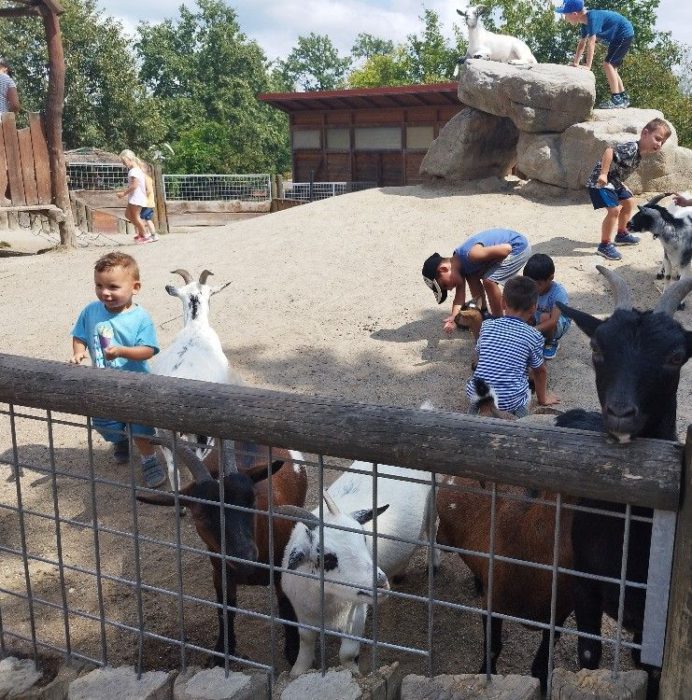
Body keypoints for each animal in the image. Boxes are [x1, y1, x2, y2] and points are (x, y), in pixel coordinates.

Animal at [138, 440, 306, 664]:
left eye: (251, 501)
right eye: (200, 515)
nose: (244, 557)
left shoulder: (282, 570)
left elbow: (286, 608)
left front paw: (293, 651)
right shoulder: (220, 573)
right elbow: (225, 610)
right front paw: (222, 652)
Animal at [278, 456, 436, 676]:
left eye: (364, 539)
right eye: (327, 558)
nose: (380, 583)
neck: (327, 600)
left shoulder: (357, 610)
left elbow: (347, 654)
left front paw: (355, 673)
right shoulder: (302, 610)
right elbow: (306, 640)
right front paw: (297, 671)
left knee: (433, 528)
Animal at [556, 266, 692, 696]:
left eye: (676, 357)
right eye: (596, 347)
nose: (620, 413)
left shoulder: (653, 622)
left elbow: (649, 671)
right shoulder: (585, 584)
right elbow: (588, 655)